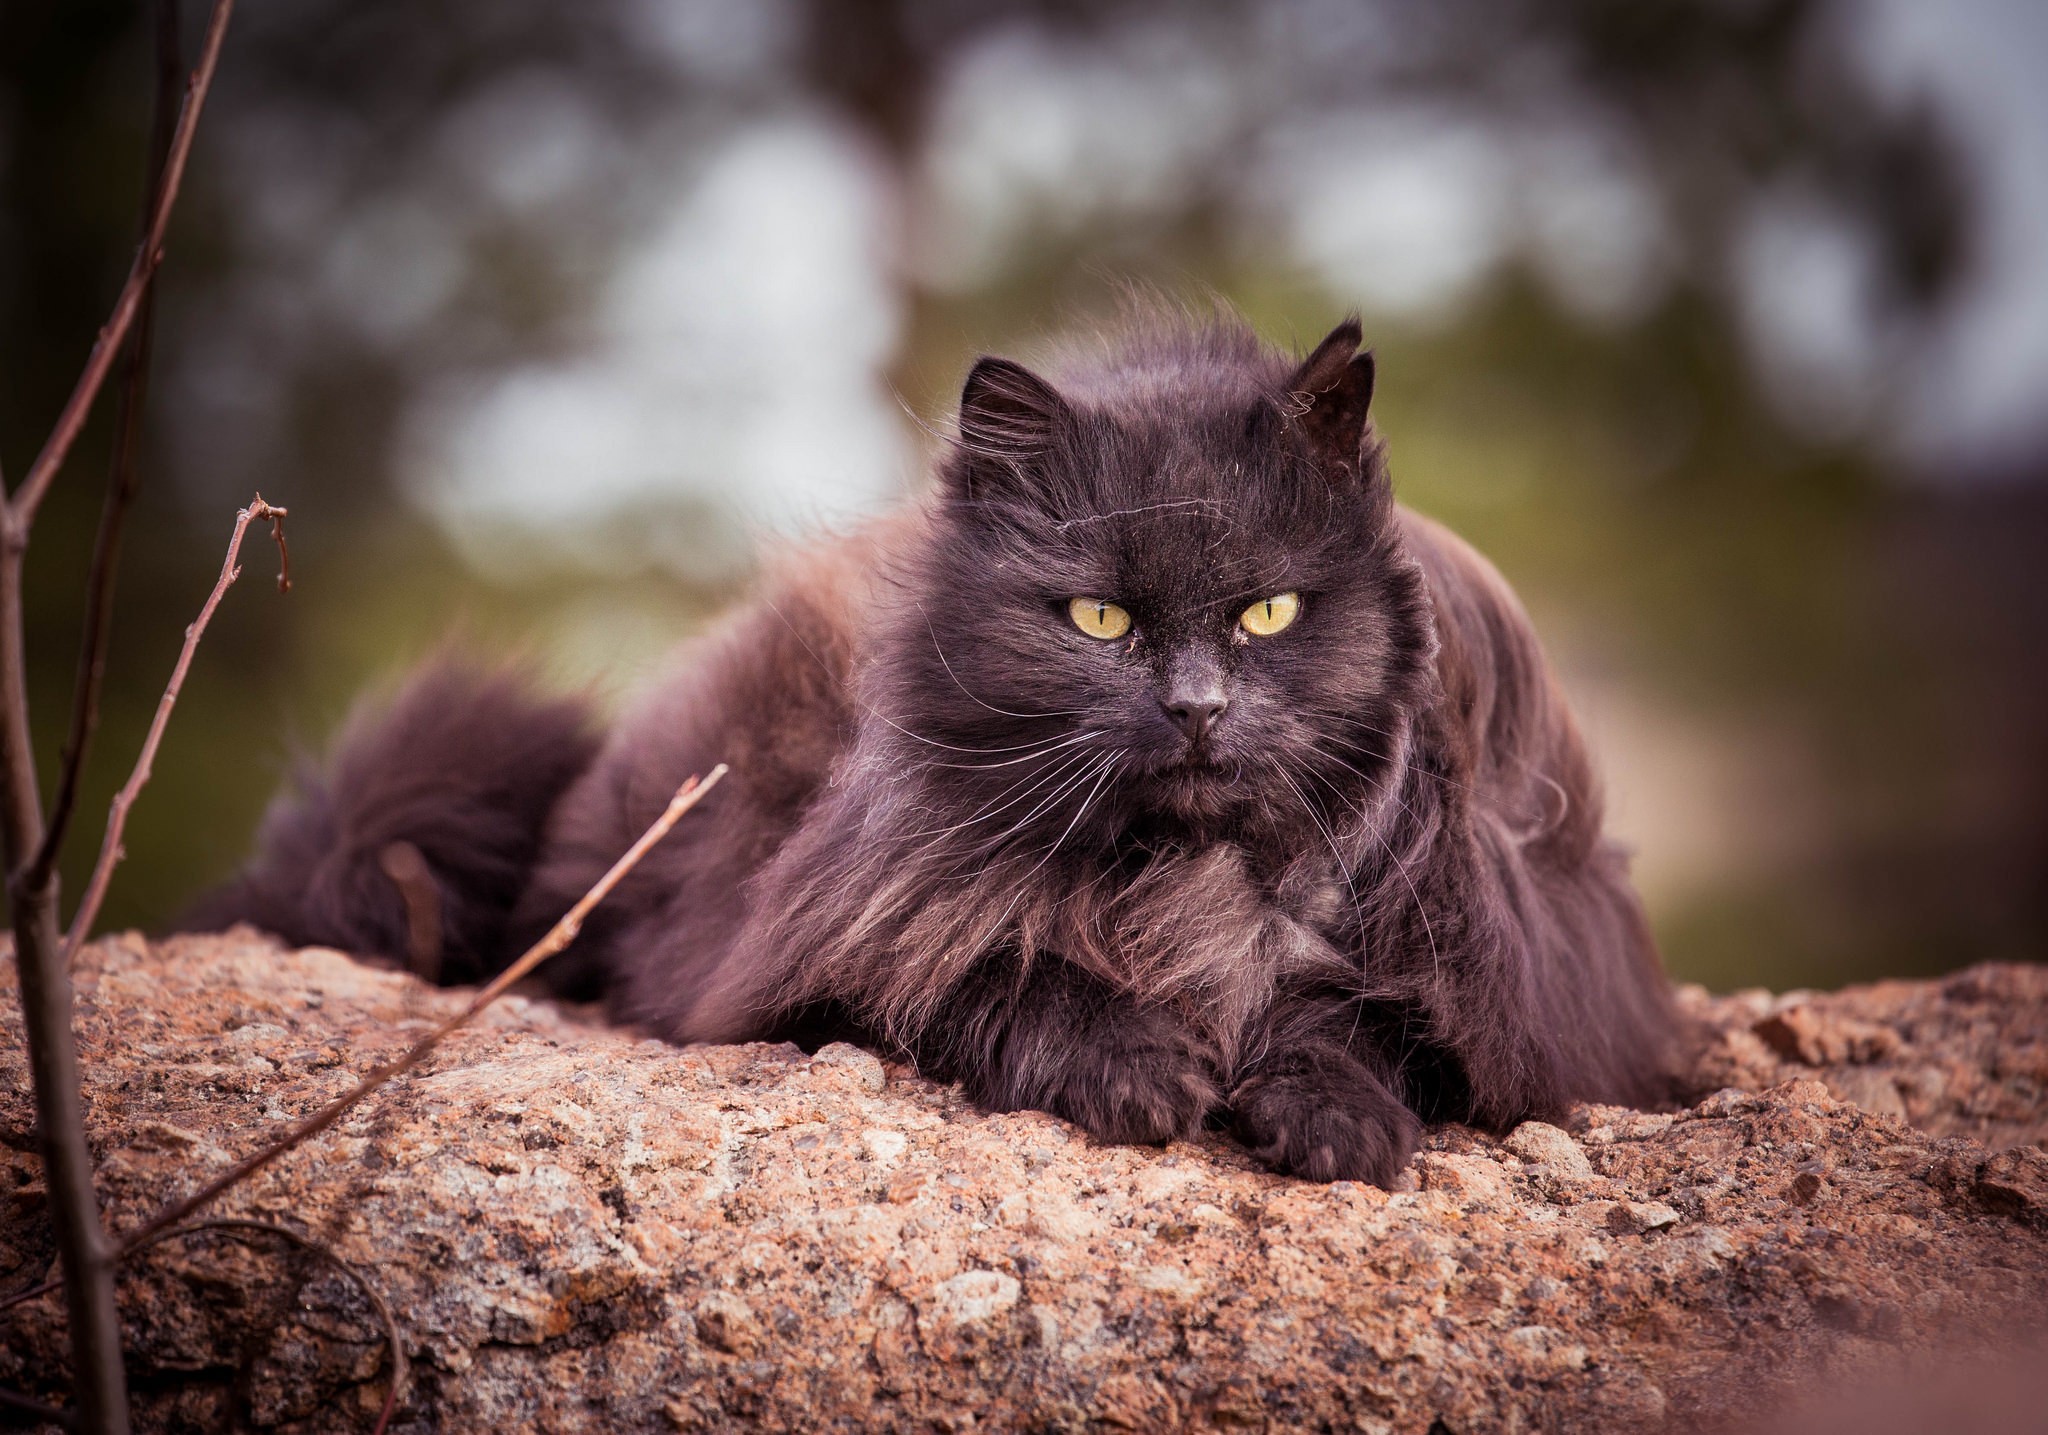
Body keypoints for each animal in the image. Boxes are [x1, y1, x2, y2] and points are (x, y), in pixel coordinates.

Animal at [195, 311, 1679, 1179]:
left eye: (1267, 612)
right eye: (1099, 617)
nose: (1197, 704)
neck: (1179, 875)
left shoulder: (1512, 963)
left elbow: (1360, 1018)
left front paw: (1326, 1114)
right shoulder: (822, 946)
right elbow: (991, 973)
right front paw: (1140, 1064)